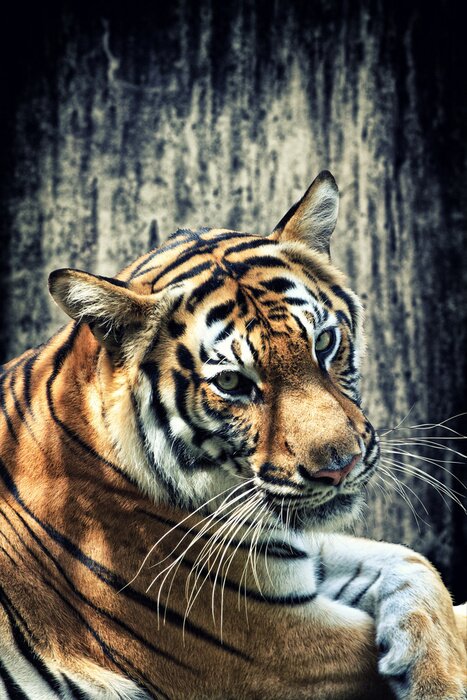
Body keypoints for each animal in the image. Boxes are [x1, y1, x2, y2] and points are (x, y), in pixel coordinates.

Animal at [0, 170, 466, 700]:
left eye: (325, 342)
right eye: (231, 383)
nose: (339, 466)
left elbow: (413, 562)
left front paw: (429, 673)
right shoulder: (279, 653)